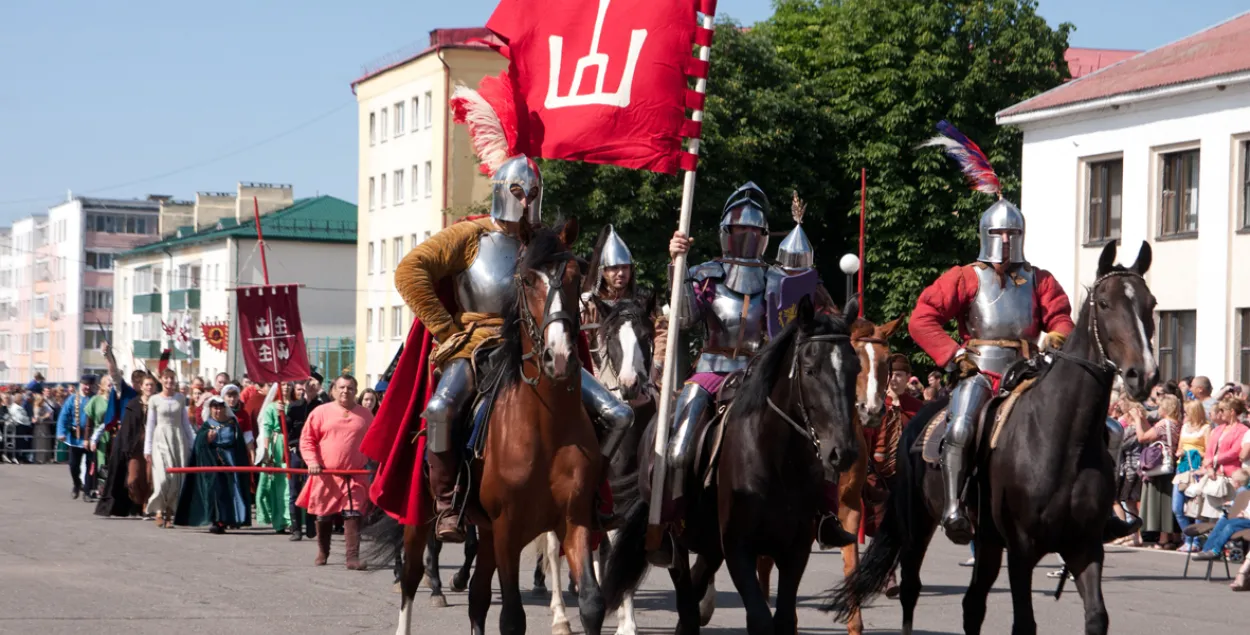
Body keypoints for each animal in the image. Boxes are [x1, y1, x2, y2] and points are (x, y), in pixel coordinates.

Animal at [370, 222, 605, 635]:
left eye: (576, 278)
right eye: (526, 280)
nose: (559, 356)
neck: (547, 427)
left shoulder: (573, 520)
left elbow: (591, 604)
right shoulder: (508, 528)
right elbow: (512, 618)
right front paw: (453, 334)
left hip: (488, 533)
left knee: (477, 599)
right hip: (423, 516)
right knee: (411, 578)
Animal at [607, 295, 865, 632]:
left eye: (855, 368)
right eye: (810, 370)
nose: (842, 451)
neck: (776, 459)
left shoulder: (794, 552)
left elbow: (784, 619)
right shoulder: (738, 549)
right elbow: (760, 619)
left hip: (709, 545)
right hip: (677, 542)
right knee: (686, 603)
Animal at [750, 315, 900, 632]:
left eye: (886, 361)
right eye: (857, 360)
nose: (872, 410)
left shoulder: (849, 510)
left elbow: (852, 565)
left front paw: (854, 622)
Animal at [830, 238, 1160, 635]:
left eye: (1151, 304)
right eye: (1105, 304)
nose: (1143, 375)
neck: (1065, 440)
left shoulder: (1085, 547)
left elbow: (1097, 617)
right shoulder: (1021, 549)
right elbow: (1024, 624)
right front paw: (962, 359)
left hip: (986, 540)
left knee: (972, 605)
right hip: (919, 523)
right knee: (911, 588)